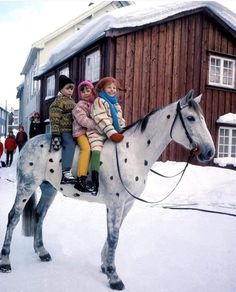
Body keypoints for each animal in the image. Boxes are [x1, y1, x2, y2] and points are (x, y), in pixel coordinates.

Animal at [0, 90, 215, 290]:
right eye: (191, 118)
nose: (209, 152)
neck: (132, 153)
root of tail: (29, 143)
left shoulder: (126, 204)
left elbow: (115, 233)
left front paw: (105, 266)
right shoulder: (115, 204)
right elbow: (114, 238)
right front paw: (114, 277)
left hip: (48, 188)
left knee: (40, 214)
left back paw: (42, 252)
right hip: (27, 186)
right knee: (13, 217)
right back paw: (5, 262)